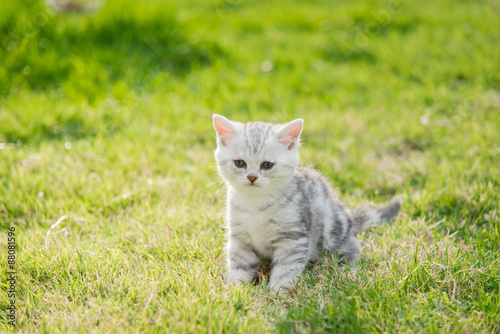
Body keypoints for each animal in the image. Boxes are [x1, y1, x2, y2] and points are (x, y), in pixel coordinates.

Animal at [213, 113, 400, 290]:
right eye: (239, 163)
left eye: (267, 165)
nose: (252, 177)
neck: (255, 204)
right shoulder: (239, 239)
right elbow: (240, 266)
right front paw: (236, 290)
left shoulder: (293, 238)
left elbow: (285, 270)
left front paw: (277, 293)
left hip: (332, 234)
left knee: (352, 249)